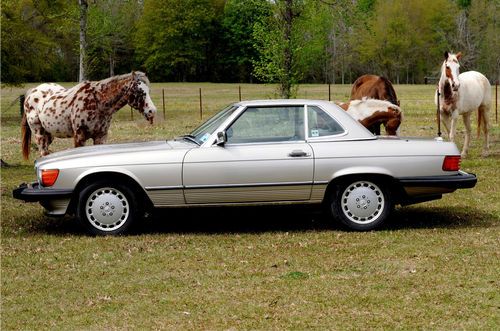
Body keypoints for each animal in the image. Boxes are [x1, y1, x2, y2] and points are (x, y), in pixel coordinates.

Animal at [22, 71, 156, 160]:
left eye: (148, 91)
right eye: (139, 91)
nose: (152, 111)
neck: (97, 102)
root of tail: (32, 92)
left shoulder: (101, 137)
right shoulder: (79, 137)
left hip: (49, 134)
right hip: (39, 134)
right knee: (43, 152)